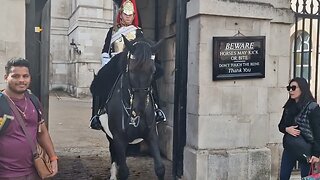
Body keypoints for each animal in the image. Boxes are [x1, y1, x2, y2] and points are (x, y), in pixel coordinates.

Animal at [90, 34, 164, 179]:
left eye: (153, 71)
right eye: (132, 69)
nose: (140, 109)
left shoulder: (151, 134)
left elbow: (159, 168)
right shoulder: (118, 138)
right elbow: (124, 171)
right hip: (110, 136)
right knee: (113, 153)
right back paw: (113, 174)